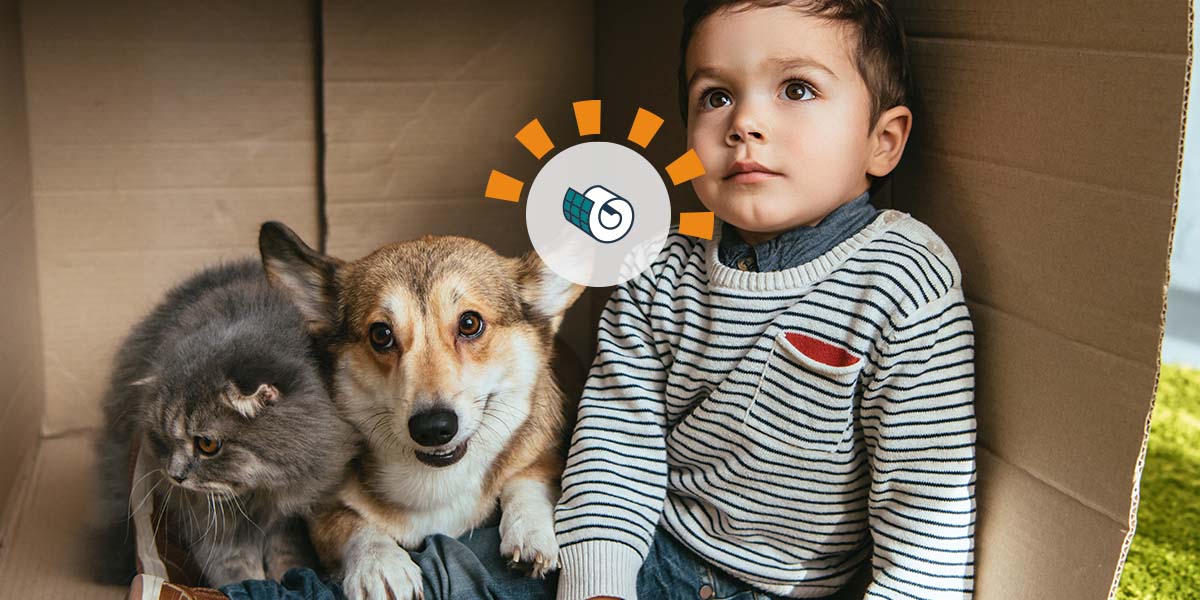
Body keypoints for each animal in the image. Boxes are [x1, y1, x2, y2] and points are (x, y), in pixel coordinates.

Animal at [91, 258, 357, 585]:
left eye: (207, 444)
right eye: (163, 439)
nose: (174, 476)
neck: (260, 494)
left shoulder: (291, 520)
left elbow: (288, 560)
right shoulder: (215, 528)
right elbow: (239, 576)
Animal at [259, 222, 585, 600]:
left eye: (470, 323)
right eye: (381, 334)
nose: (433, 427)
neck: (437, 483)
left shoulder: (545, 455)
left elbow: (527, 477)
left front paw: (529, 531)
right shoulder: (322, 509)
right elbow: (350, 523)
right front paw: (379, 564)